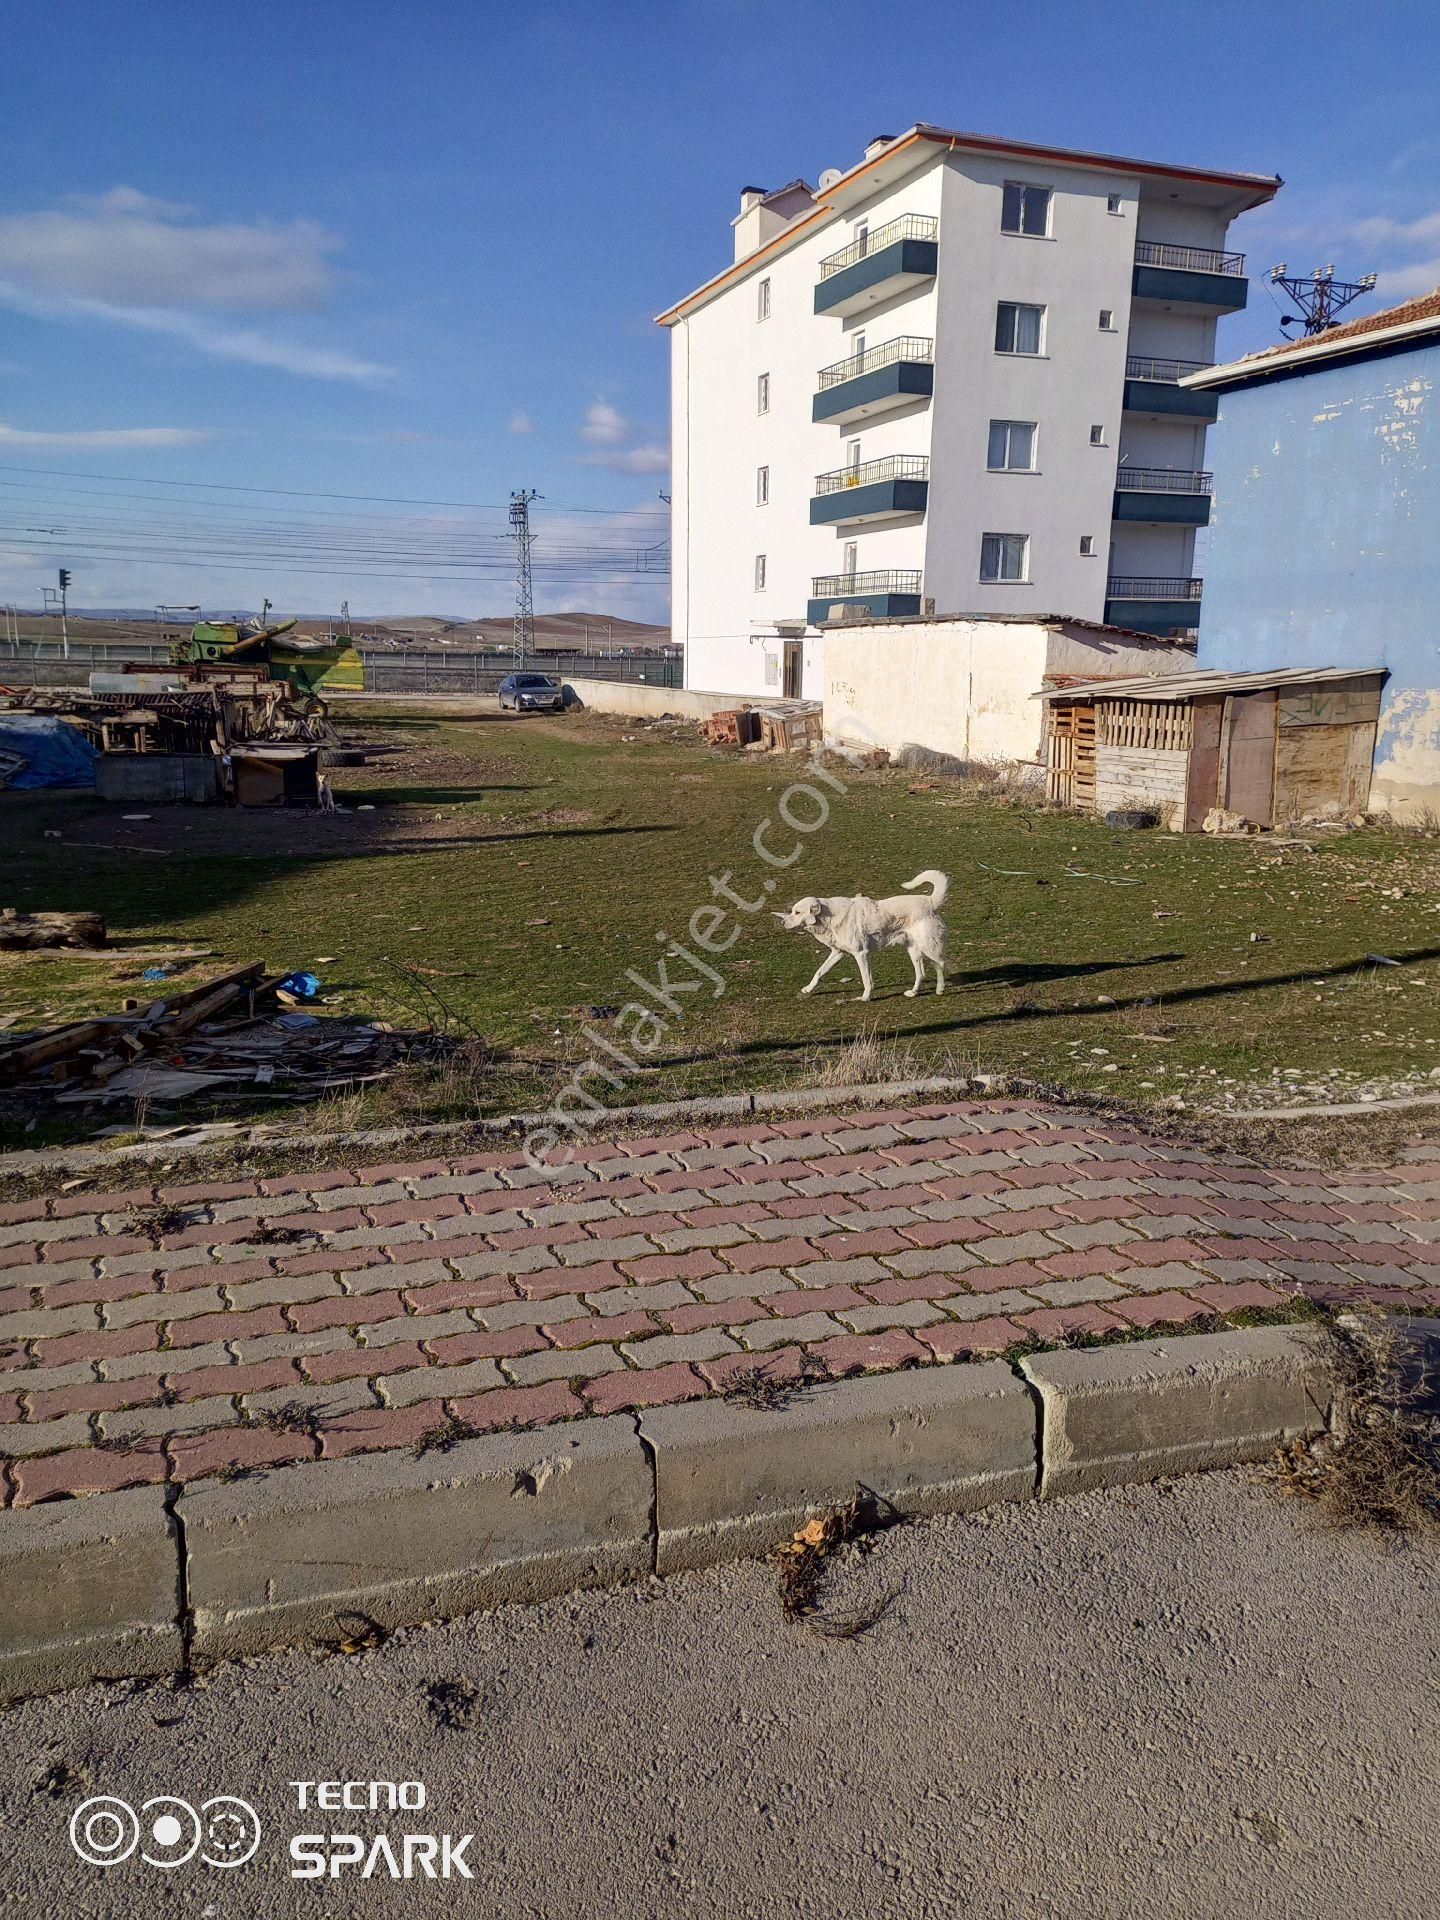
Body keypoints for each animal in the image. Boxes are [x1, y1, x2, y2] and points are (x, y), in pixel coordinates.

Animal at [771, 871, 952, 1006]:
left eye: (797, 912)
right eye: (792, 911)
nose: (782, 922)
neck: (828, 917)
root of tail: (929, 901)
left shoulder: (861, 954)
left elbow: (866, 979)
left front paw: (865, 997)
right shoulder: (838, 953)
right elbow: (820, 971)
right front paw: (808, 989)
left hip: (929, 946)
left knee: (940, 964)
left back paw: (940, 989)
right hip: (913, 950)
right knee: (921, 973)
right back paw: (913, 992)